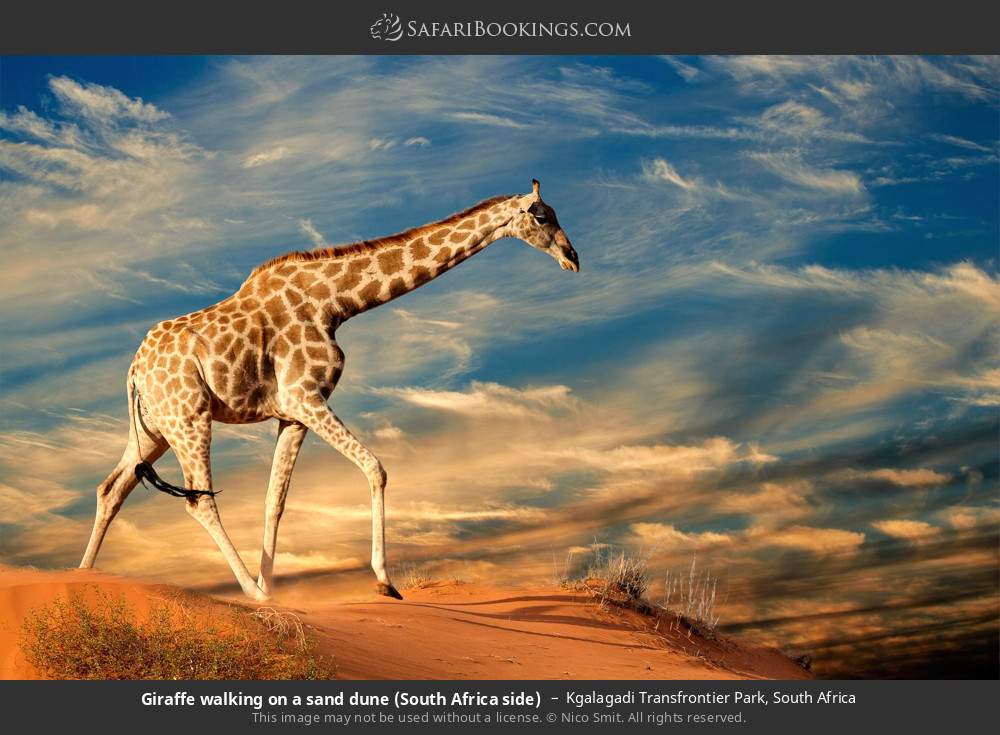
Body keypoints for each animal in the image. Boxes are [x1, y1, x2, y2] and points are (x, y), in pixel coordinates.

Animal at [80, 180, 580, 604]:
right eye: (541, 216)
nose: (573, 258)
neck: (336, 303)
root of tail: (133, 371)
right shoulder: (306, 396)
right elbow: (376, 468)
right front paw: (383, 582)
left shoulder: (291, 414)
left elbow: (275, 501)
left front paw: (274, 586)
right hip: (189, 418)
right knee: (198, 500)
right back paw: (251, 595)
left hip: (154, 429)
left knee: (111, 489)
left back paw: (83, 575)